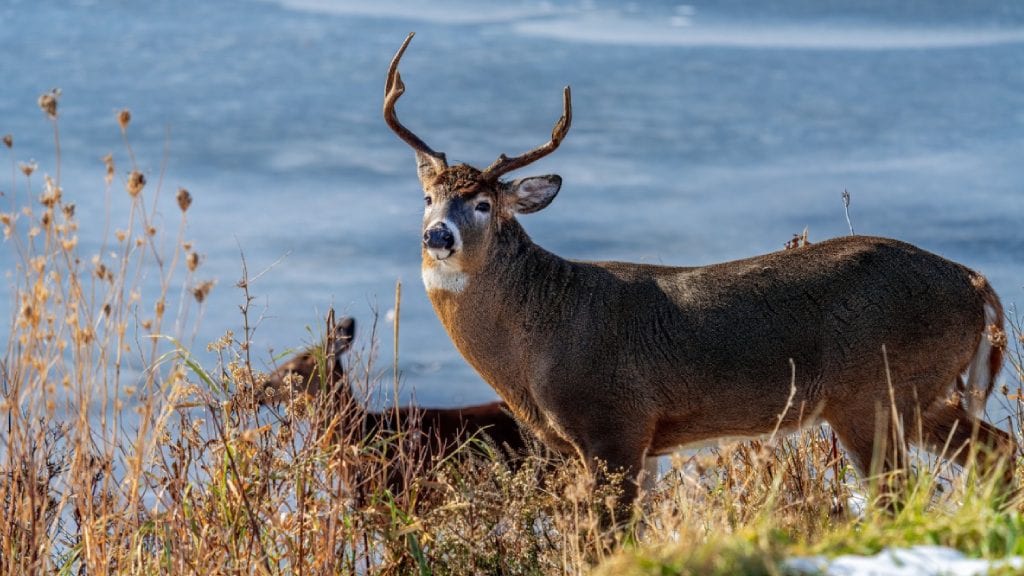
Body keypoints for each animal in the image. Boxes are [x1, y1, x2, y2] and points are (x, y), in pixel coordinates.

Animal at [383, 33, 1016, 511]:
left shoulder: (614, 424)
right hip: (926, 393)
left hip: (876, 392)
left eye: (483, 204)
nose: (437, 236)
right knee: (998, 452)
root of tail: (975, 283)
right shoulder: (642, 446)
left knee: (898, 493)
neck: (536, 337)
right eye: (427, 197)